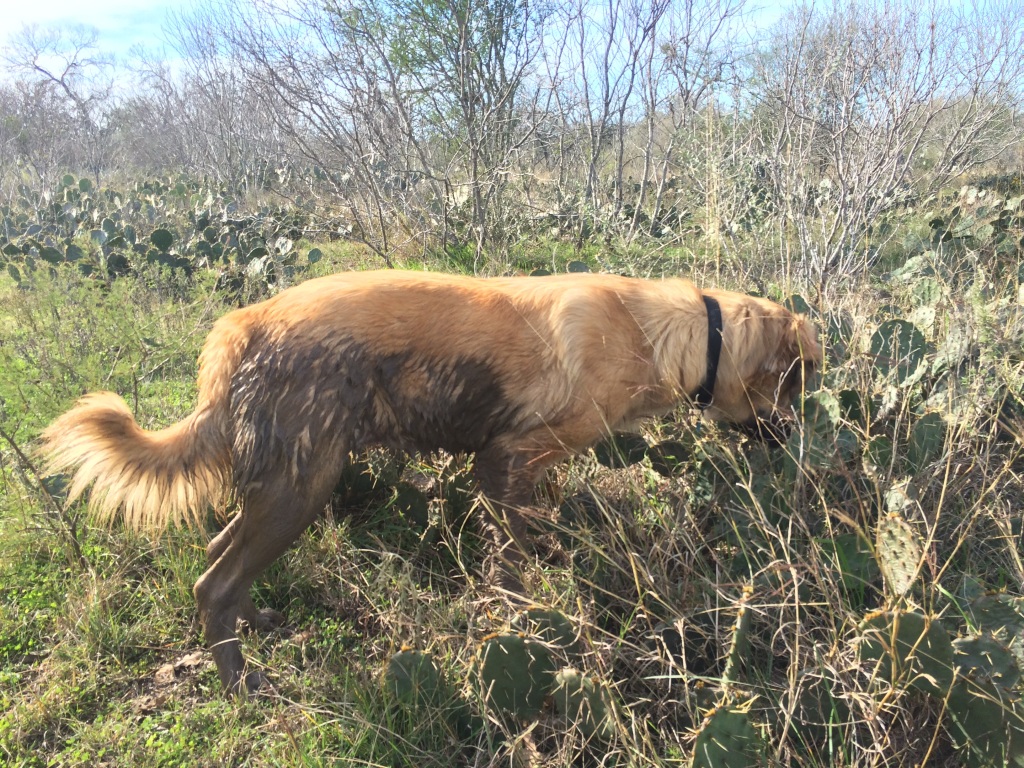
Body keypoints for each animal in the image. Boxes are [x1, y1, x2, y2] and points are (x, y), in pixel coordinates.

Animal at [39, 268, 819, 692]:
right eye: (795, 383)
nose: (792, 440)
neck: (667, 333)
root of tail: (245, 323)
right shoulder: (505, 462)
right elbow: (514, 564)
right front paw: (525, 619)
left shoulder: (524, 476)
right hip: (301, 490)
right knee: (213, 582)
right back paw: (242, 684)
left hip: (279, 488)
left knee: (216, 557)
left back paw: (258, 624)